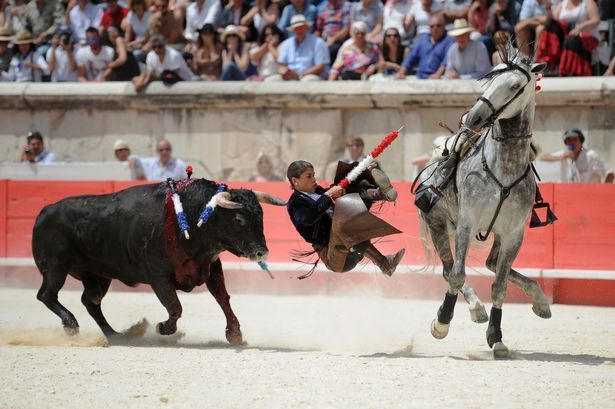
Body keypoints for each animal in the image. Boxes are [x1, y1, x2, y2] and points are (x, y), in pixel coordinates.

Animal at [31, 179, 286, 344]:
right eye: (240, 219)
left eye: (261, 216)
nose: (262, 252)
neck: (191, 217)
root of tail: (45, 210)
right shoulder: (158, 275)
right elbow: (174, 305)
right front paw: (163, 328)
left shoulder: (211, 266)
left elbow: (223, 299)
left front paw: (234, 334)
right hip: (55, 266)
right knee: (46, 295)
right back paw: (71, 325)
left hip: (98, 275)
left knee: (90, 301)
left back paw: (116, 335)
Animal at [418, 50, 552, 356]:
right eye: (490, 80)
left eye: (515, 86)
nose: (474, 117)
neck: (504, 167)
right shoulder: (467, 223)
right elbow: (457, 274)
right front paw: (441, 323)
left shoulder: (514, 233)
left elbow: (499, 285)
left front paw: (496, 336)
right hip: (438, 224)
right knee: (449, 269)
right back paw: (475, 308)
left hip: (496, 234)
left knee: (491, 264)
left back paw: (540, 300)